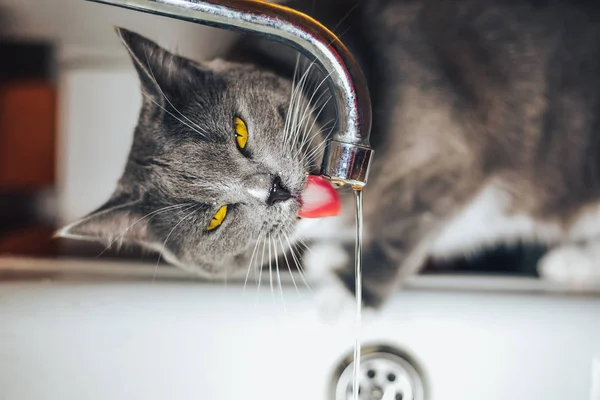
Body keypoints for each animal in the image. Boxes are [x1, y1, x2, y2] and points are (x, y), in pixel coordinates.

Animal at [58, 0, 600, 306]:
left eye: (239, 132)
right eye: (215, 217)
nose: (273, 189)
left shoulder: (446, 157)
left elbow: (402, 229)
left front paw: (346, 293)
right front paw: (334, 259)